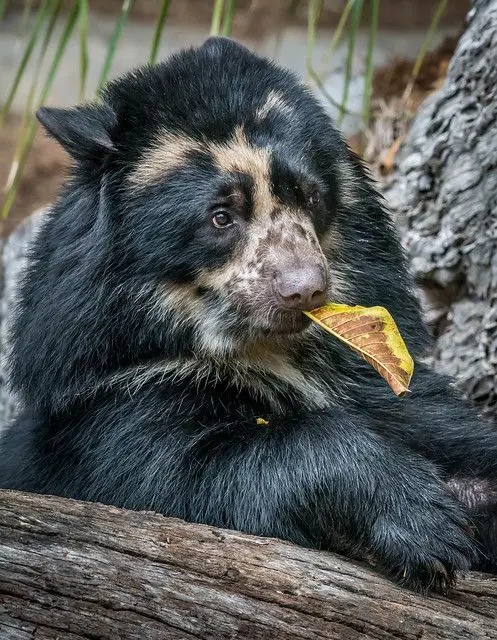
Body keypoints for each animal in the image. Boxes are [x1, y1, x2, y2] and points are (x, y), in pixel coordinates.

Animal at [0, 37, 496, 592]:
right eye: (221, 216)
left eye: (310, 196)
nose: (306, 289)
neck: (261, 351)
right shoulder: (115, 394)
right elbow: (184, 470)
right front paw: (427, 526)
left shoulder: (377, 381)